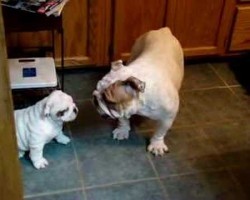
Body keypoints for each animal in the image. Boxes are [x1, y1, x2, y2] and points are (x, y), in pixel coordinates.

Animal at [94, 27, 184, 156]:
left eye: (109, 102)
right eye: (96, 90)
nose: (95, 100)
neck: (140, 103)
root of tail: (164, 30)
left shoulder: (167, 117)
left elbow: (160, 132)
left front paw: (156, 145)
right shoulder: (123, 110)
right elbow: (123, 120)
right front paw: (122, 130)